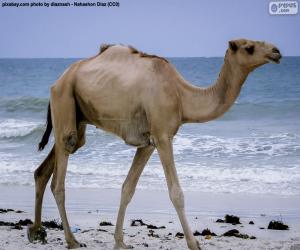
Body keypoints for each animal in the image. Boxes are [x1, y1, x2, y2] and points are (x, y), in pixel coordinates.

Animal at [26, 38, 282, 249]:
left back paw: (36, 232)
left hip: (77, 118)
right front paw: (194, 244)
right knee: (59, 179)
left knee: (44, 170)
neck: (182, 96)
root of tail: (57, 81)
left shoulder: (148, 143)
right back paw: (71, 240)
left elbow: (127, 189)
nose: (276, 52)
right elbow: (176, 193)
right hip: (64, 101)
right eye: (249, 47)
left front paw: (120, 242)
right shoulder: (162, 136)